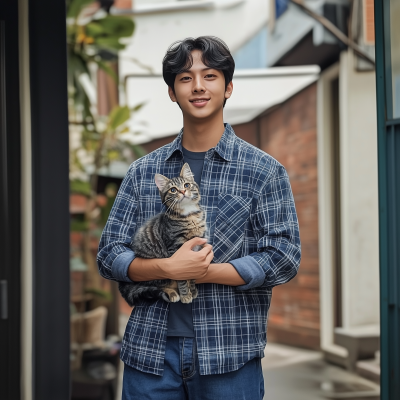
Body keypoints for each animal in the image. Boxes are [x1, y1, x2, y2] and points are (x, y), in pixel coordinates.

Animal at [118, 162, 206, 306]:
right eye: (173, 190)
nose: (182, 191)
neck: (189, 215)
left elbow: (192, 276)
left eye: (186, 185)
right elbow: (182, 278)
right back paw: (172, 293)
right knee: (157, 286)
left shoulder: (197, 248)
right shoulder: (175, 249)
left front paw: (192, 291)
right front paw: (185, 294)